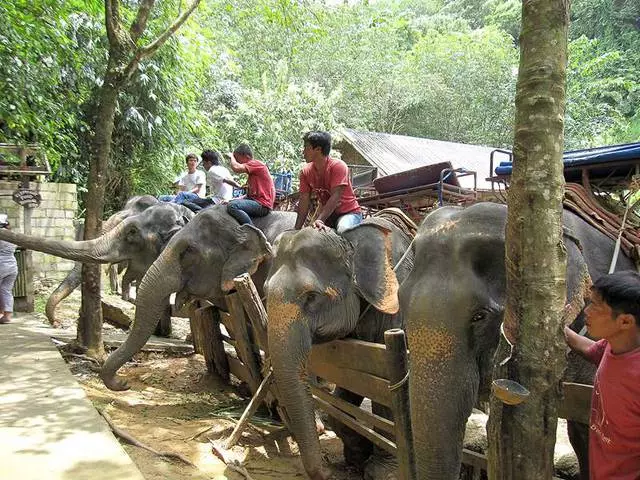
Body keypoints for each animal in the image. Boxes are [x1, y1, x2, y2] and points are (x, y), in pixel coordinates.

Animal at [264, 214, 416, 480]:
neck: (349, 242)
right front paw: (357, 457)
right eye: (263, 290)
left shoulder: (396, 306)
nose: (327, 473)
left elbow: (380, 384)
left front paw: (380, 472)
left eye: (311, 297)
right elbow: (351, 382)